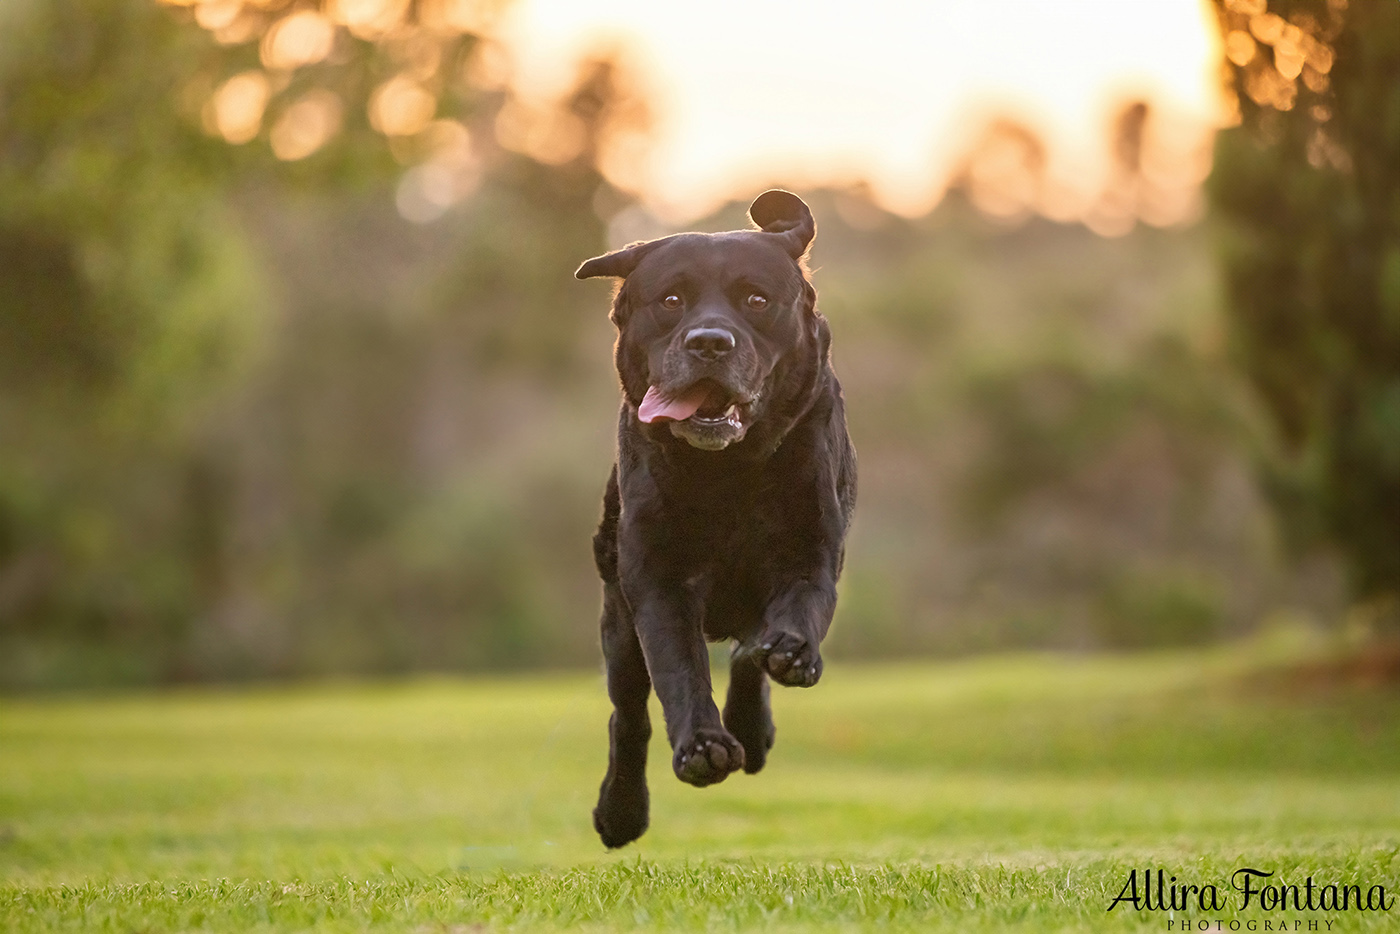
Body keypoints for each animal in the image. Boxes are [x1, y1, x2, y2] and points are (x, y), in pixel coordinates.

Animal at [571, 190, 851, 845]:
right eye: (671, 301)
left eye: (757, 299)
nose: (709, 342)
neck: (728, 474)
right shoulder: (655, 578)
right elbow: (678, 665)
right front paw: (702, 747)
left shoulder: (811, 548)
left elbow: (803, 606)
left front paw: (794, 653)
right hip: (616, 623)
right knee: (628, 715)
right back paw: (620, 812)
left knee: (748, 658)